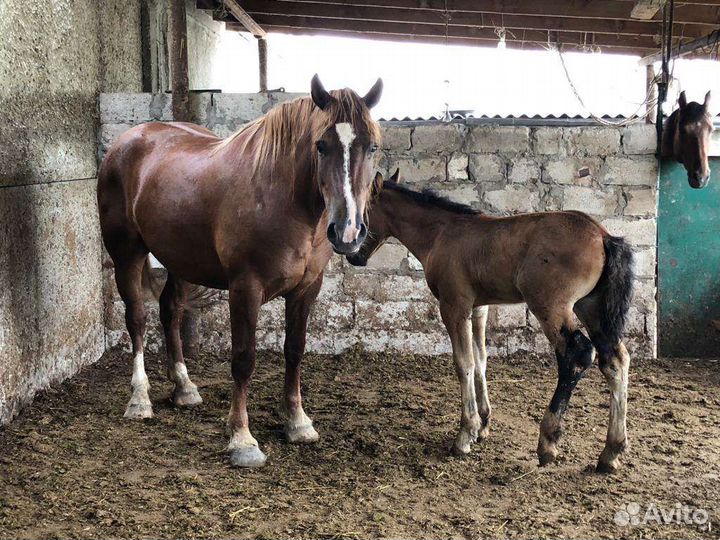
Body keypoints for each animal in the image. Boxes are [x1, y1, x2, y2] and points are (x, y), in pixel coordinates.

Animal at [97, 75, 383, 468]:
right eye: (321, 146)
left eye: (371, 147)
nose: (348, 232)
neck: (281, 197)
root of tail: (127, 141)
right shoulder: (246, 288)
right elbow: (244, 358)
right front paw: (242, 439)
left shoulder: (307, 289)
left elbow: (295, 350)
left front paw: (297, 422)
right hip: (127, 254)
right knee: (137, 318)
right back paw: (139, 398)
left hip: (180, 259)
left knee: (170, 311)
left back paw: (184, 388)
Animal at [347, 170, 635, 473]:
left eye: (362, 212)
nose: (353, 256)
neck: (441, 234)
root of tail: (603, 235)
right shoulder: (479, 308)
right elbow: (481, 359)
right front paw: (483, 424)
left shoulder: (454, 306)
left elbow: (464, 363)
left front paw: (465, 434)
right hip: (591, 307)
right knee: (615, 360)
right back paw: (611, 452)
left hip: (551, 308)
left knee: (576, 355)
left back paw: (548, 442)